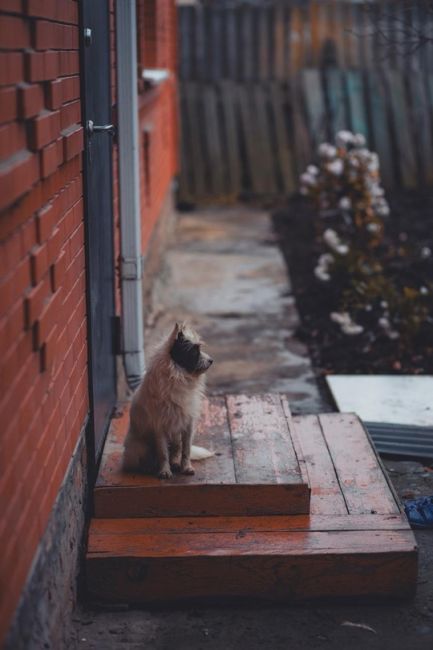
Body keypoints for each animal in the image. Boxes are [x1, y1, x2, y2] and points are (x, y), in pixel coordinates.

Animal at [122, 322, 213, 478]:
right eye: (194, 351)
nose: (211, 360)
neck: (179, 376)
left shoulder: (188, 425)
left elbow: (186, 450)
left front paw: (186, 467)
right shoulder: (160, 427)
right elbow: (163, 453)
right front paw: (165, 471)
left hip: (175, 438)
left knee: (176, 450)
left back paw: (175, 463)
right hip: (140, 446)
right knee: (147, 459)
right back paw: (149, 467)